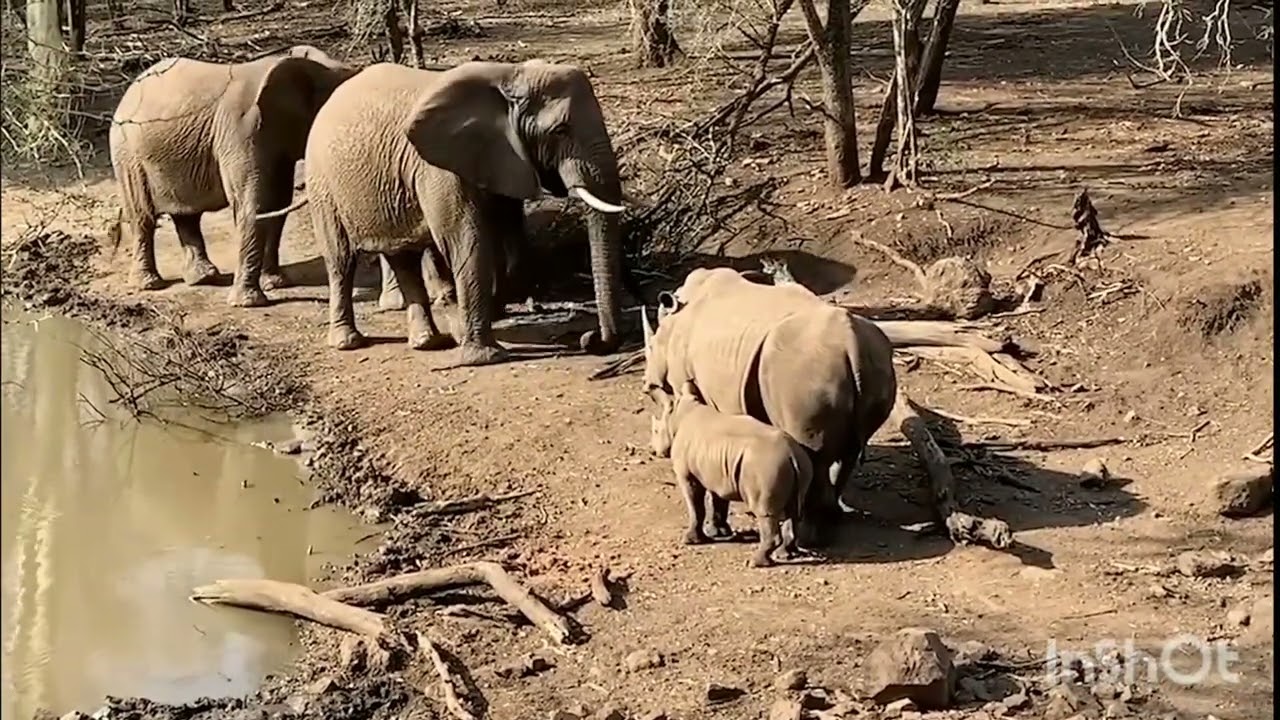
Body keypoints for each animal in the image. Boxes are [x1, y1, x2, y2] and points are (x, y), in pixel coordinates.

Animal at [107, 45, 359, 307]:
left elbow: (278, 204)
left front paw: (276, 283)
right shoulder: (241, 130)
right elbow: (254, 204)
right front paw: (249, 303)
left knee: (186, 214)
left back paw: (204, 277)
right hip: (127, 154)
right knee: (142, 216)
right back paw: (150, 284)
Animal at [255, 60, 631, 366]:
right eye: (560, 131)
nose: (590, 340)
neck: (509, 75)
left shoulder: (498, 157)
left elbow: (505, 232)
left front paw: (482, 321)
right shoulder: (438, 170)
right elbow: (468, 241)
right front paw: (484, 356)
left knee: (401, 257)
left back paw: (428, 342)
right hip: (324, 183)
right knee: (340, 260)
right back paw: (349, 343)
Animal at [640, 267, 898, 547]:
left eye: (654, 394)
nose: (655, 451)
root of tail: (851, 343)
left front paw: (716, 529)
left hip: (803, 371)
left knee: (814, 453)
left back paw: (803, 540)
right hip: (876, 360)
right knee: (847, 452)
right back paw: (828, 523)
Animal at [649, 380, 814, 568]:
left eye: (656, 431)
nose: (653, 452)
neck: (679, 413)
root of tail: (791, 453)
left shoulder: (687, 475)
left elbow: (695, 506)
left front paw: (690, 540)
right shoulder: (717, 471)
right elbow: (718, 500)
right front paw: (718, 532)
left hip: (768, 466)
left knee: (764, 511)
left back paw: (755, 563)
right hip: (801, 464)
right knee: (795, 509)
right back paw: (784, 555)